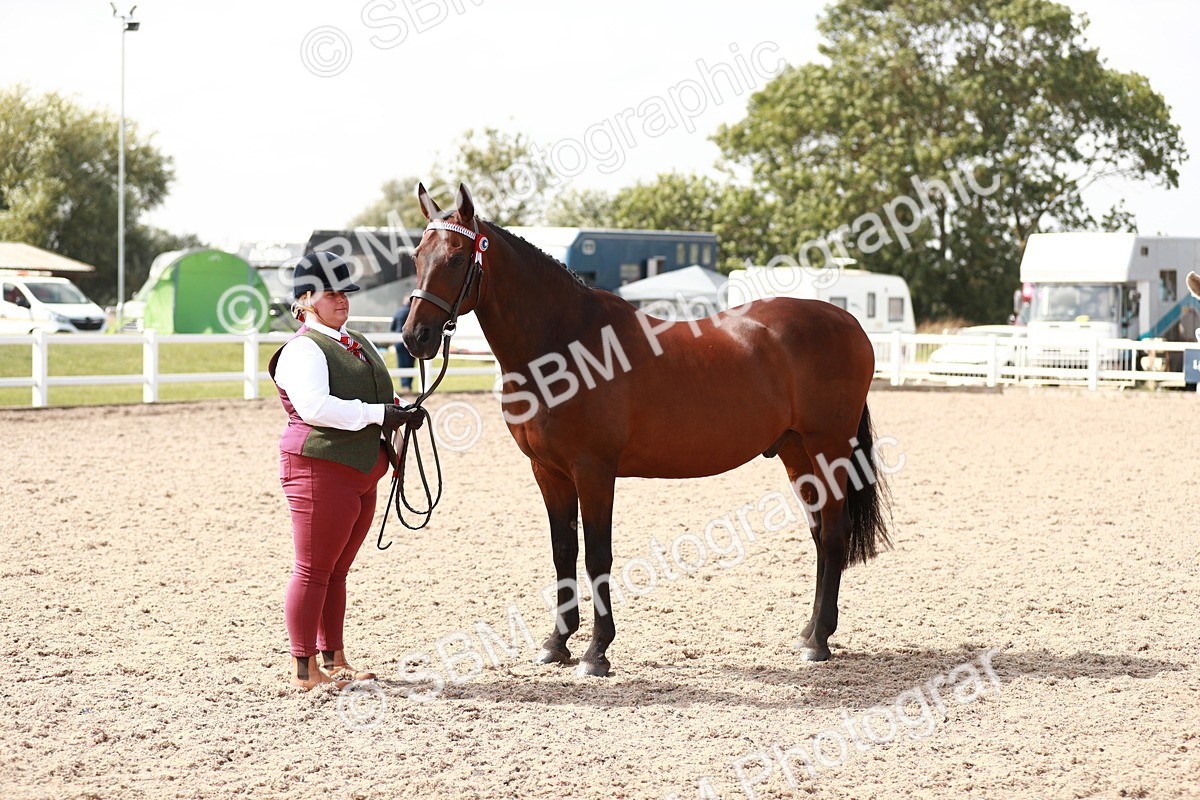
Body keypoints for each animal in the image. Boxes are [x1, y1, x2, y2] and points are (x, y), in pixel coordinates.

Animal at [402, 183, 890, 677]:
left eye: (457, 258)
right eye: (417, 256)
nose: (414, 337)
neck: (565, 344)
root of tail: (849, 323)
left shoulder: (594, 471)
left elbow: (597, 555)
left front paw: (596, 652)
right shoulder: (549, 472)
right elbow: (563, 551)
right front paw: (557, 643)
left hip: (829, 448)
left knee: (834, 534)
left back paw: (820, 641)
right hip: (796, 453)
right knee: (819, 535)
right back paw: (808, 633)